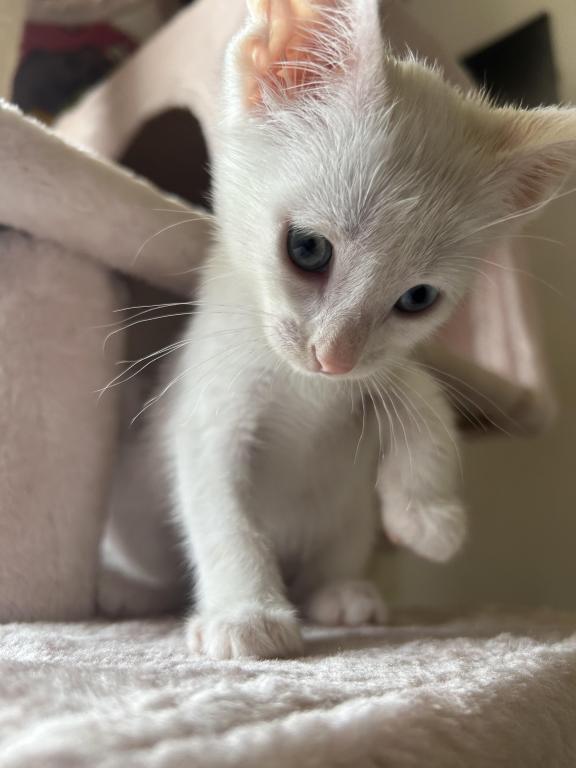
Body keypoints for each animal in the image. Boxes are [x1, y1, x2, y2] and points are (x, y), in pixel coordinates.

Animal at [102, 0, 576, 660]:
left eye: (417, 298)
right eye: (307, 249)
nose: (333, 357)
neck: (304, 388)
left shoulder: (374, 371)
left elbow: (420, 394)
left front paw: (427, 517)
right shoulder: (205, 410)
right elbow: (223, 514)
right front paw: (246, 614)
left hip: (346, 519)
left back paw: (340, 592)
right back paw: (127, 593)